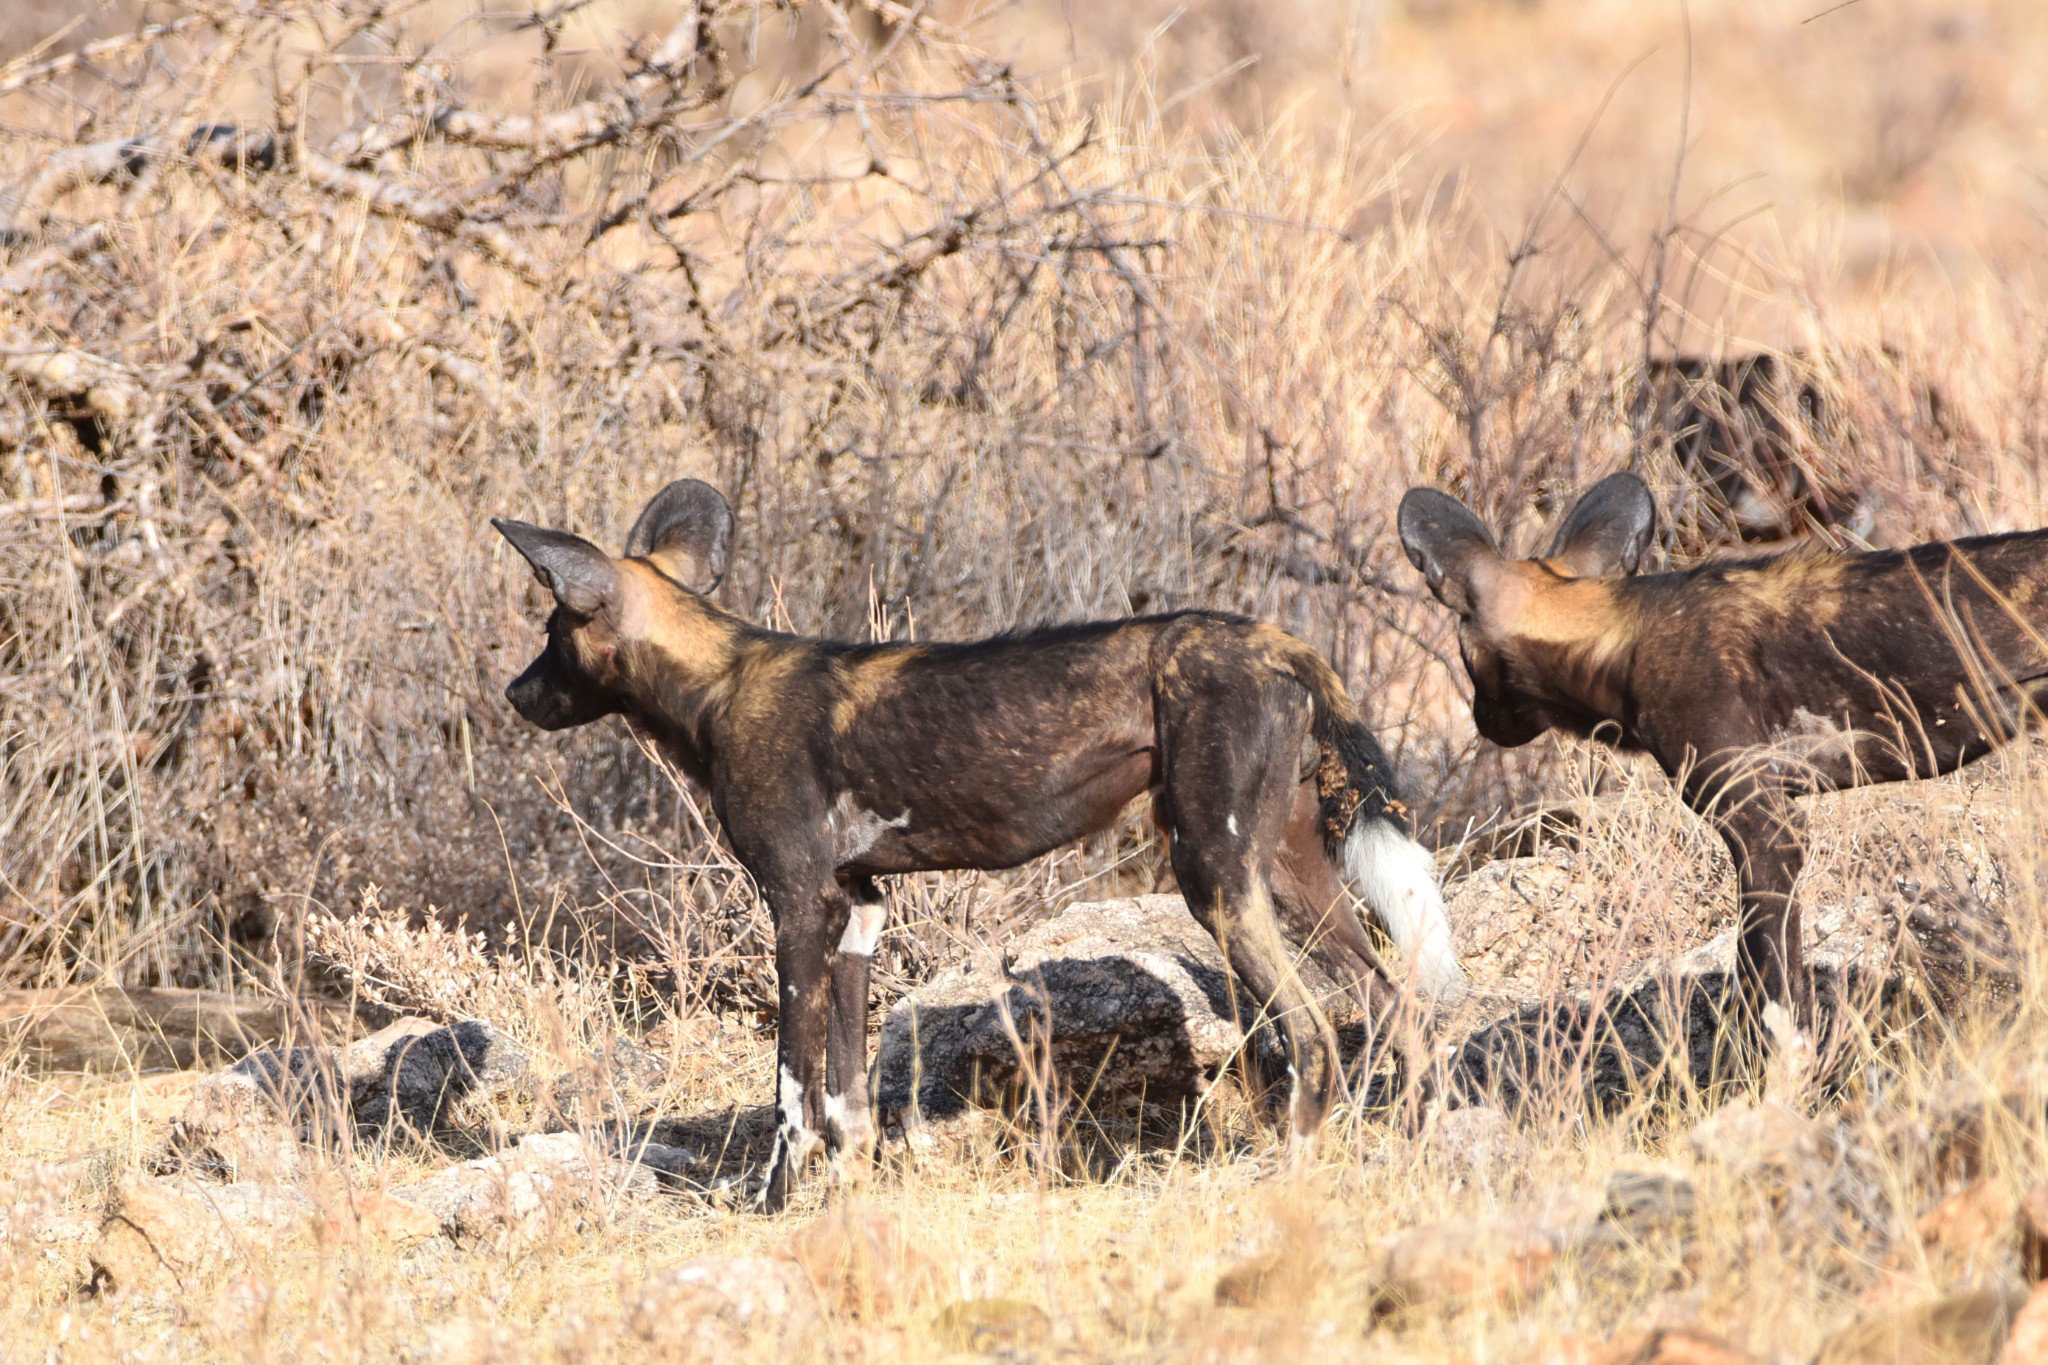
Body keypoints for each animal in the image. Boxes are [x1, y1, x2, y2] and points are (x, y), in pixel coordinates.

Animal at [491, 478, 1458, 1203]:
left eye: (548, 634)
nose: (513, 694)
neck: (716, 683)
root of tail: (1277, 638)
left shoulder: (798, 908)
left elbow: (792, 1095)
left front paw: (772, 1203)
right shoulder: (856, 911)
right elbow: (847, 1099)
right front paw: (849, 1199)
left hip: (1214, 876)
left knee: (1314, 1031)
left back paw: (1289, 1168)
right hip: (1290, 876)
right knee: (1394, 1004)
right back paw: (1413, 1145)